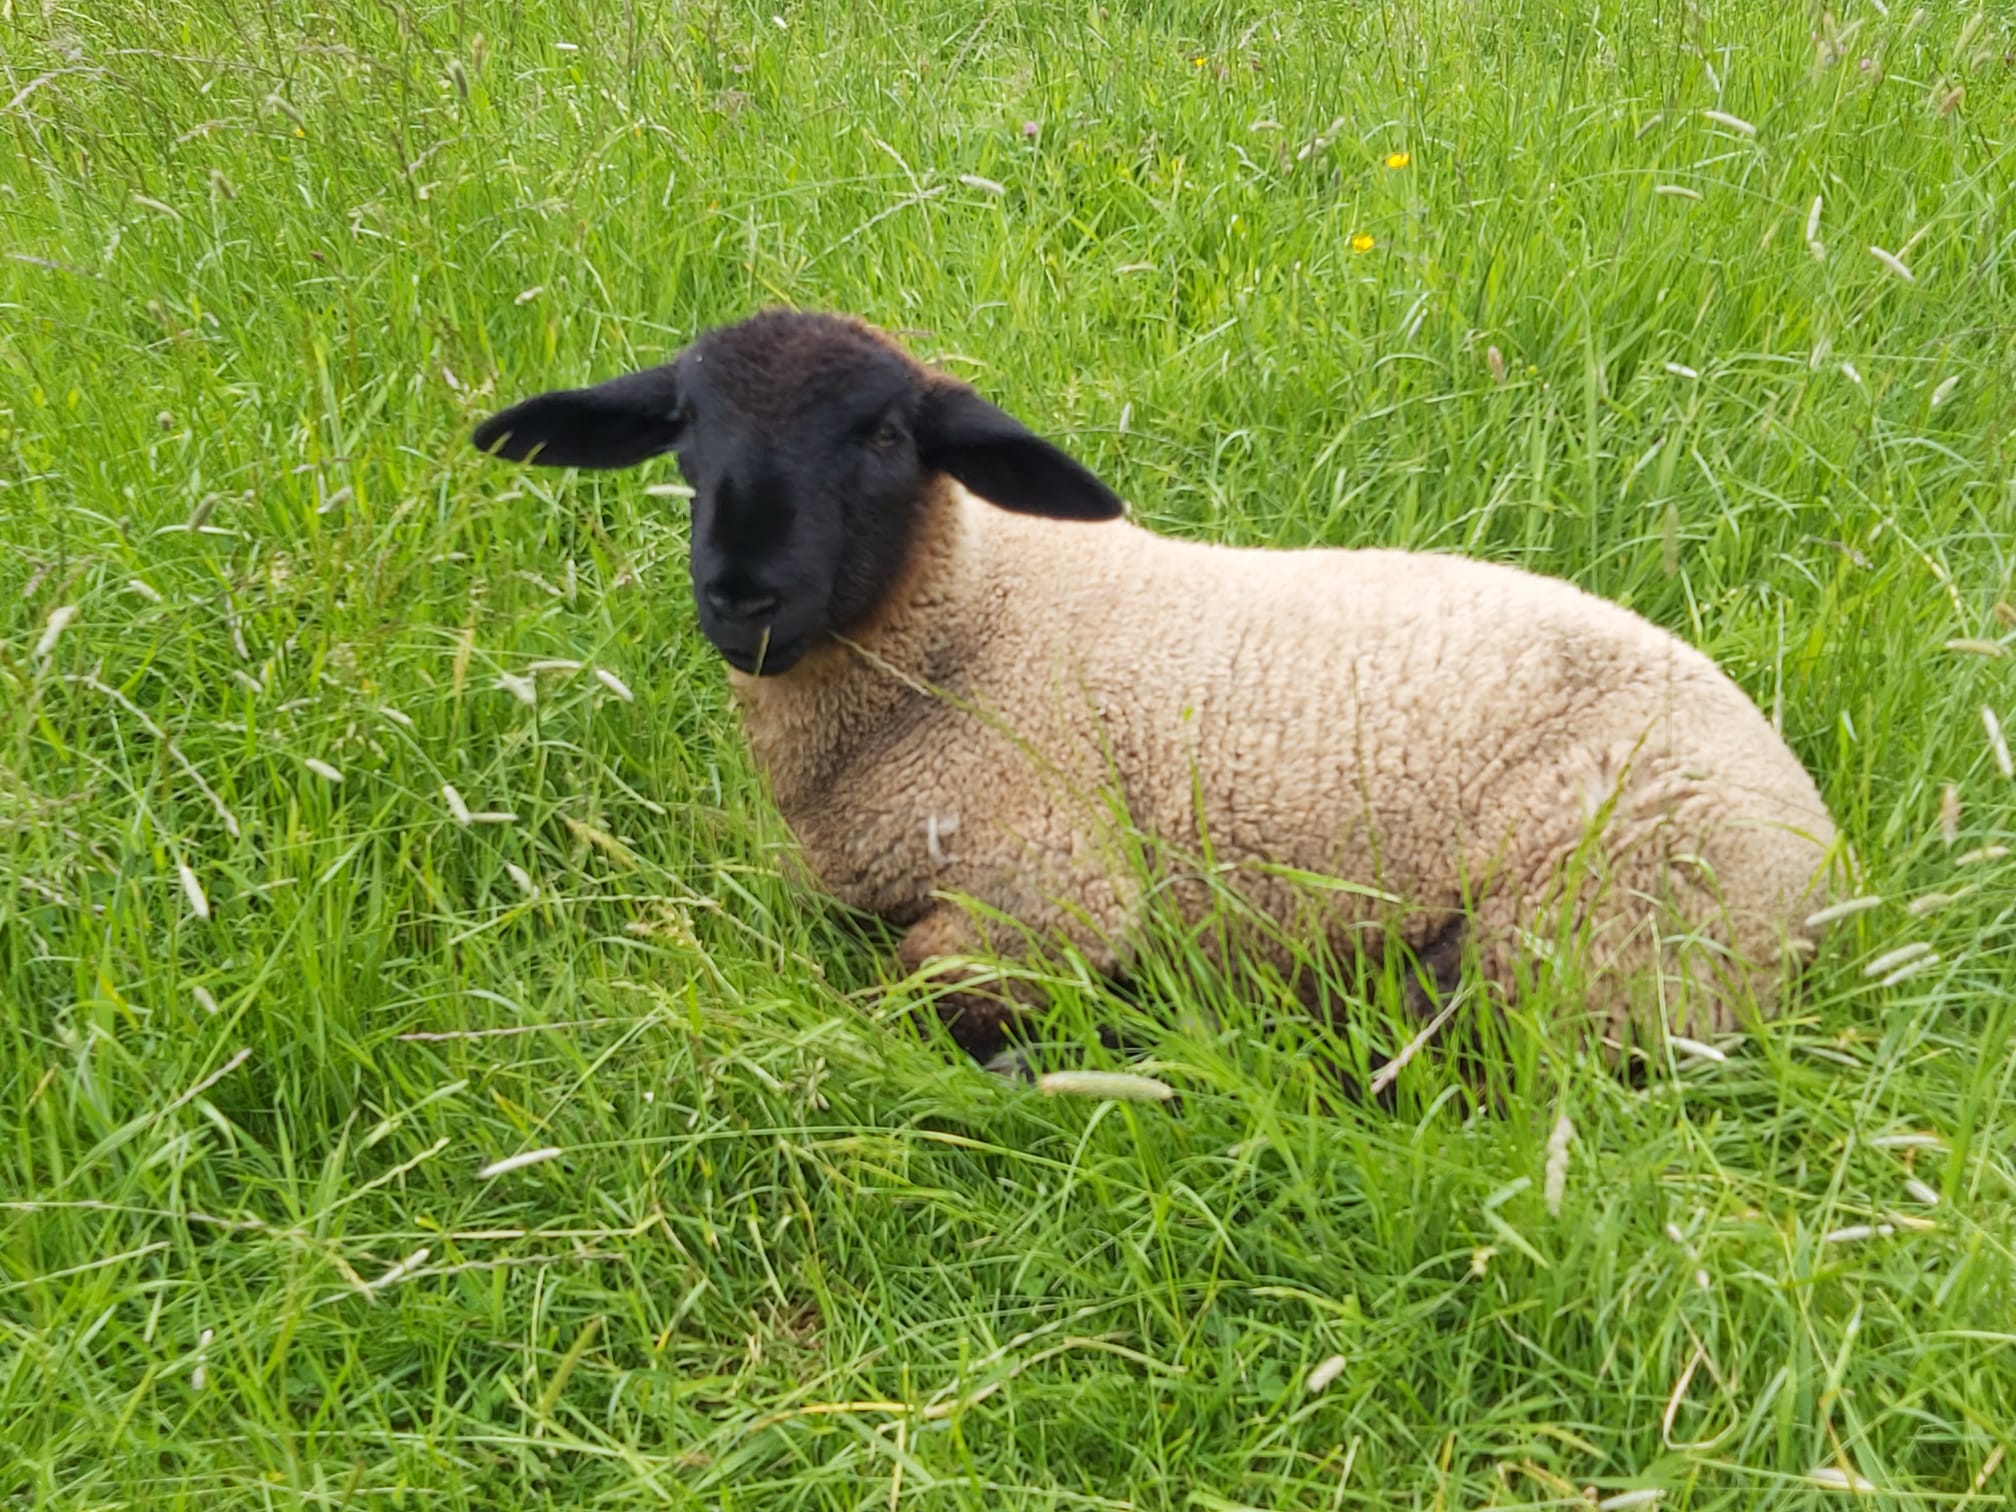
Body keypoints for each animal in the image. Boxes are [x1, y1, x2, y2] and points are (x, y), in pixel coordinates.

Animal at [472, 309, 1842, 1077]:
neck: (963, 628)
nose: (740, 594)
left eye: (886, 437)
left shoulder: (1050, 888)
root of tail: (1831, 867)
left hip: (1598, 935)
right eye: (685, 431)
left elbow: (913, 983)